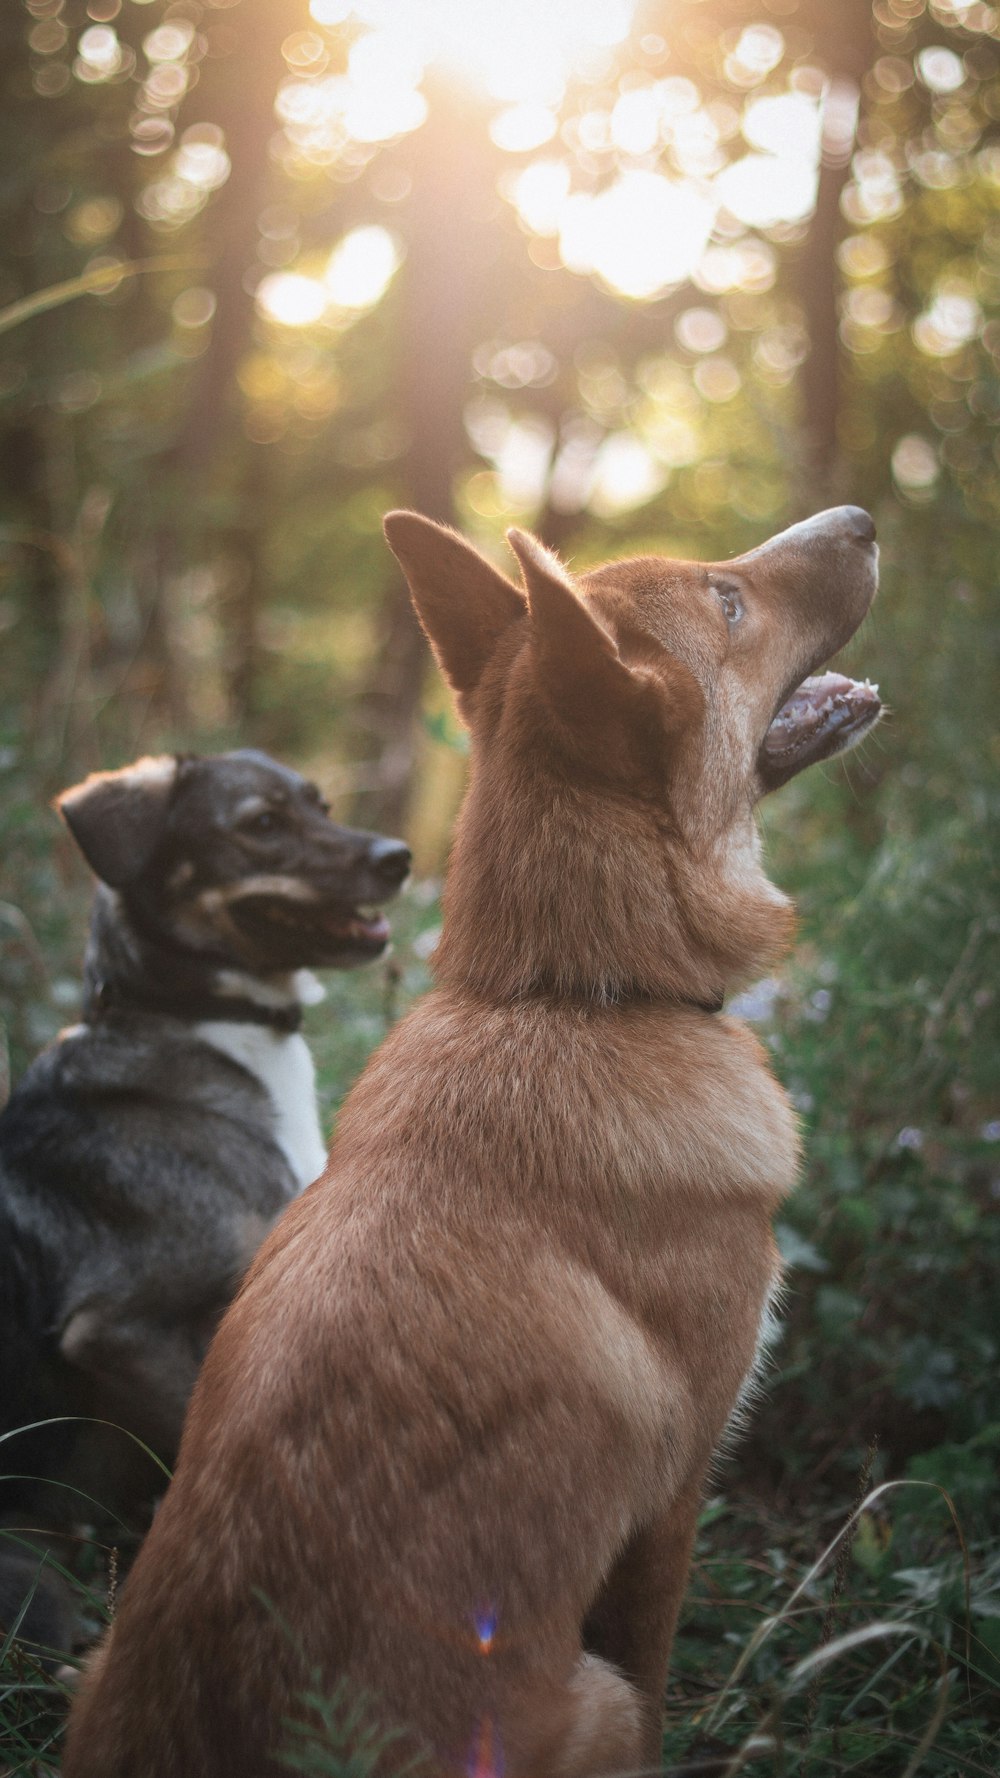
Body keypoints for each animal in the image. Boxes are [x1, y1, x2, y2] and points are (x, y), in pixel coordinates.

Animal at [62, 504, 875, 1778]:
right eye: (727, 600)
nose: (864, 517)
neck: (561, 994)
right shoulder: (672, 1500)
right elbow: (658, 1669)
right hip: (590, 1695)